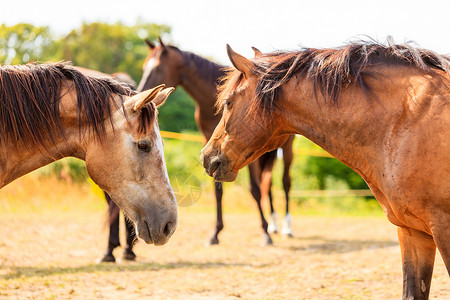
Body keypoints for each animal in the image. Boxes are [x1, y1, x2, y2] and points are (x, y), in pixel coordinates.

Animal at [137, 39, 298, 245]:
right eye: (144, 67)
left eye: (157, 68)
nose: (140, 95)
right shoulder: (214, 147)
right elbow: (218, 190)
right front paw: (216, 233)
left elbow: (254, 189)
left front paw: (265, 233)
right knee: (267, 184)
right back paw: (274, 225)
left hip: (286, 149)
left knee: (285, 183)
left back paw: (286, 228)